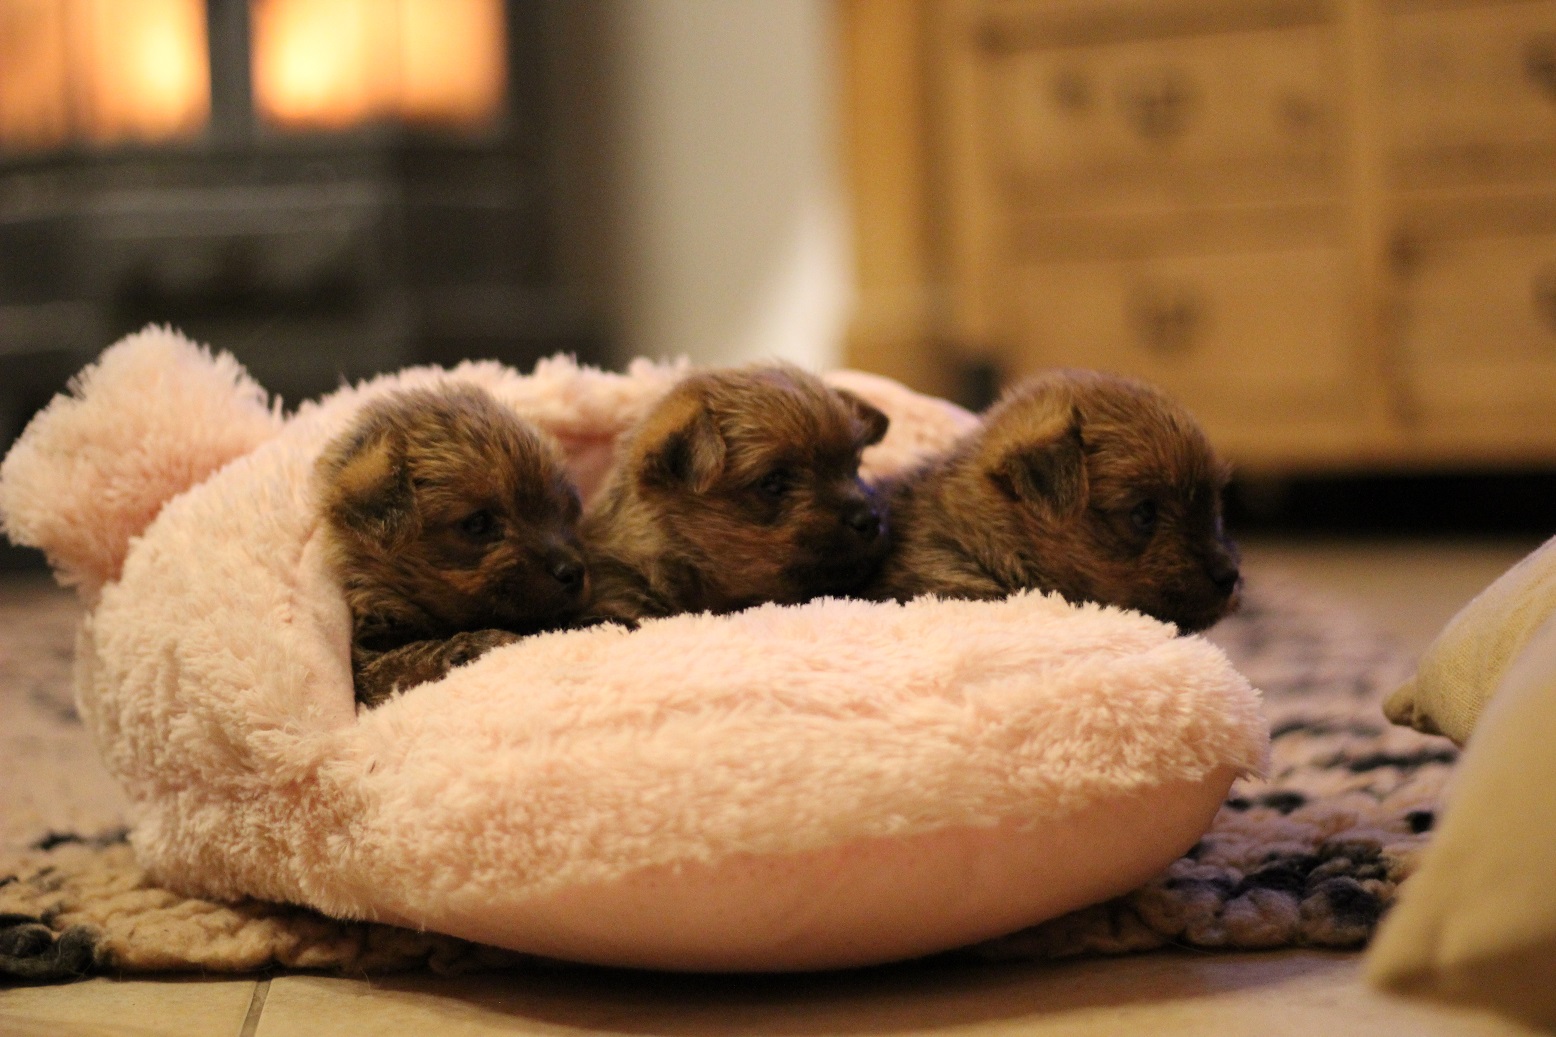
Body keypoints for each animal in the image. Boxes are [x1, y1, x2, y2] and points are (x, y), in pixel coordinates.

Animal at [316, 384, 589, 707]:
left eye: (560, 512)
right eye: (478, 523)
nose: (574, 571)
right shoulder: (367, 660)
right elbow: (402, 660)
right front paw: (472, 646)